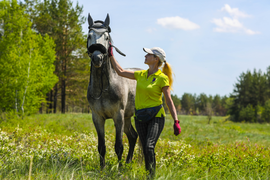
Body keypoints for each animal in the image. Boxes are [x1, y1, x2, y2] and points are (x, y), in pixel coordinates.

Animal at [86, 13, 139, 169]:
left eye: (106, 37)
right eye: (89, 36)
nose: (97, 58)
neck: (104, 87)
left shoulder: (118, 116)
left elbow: (119, 146)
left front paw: (119, 170)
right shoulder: (97, 117)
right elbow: (101, 147)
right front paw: (102, 169)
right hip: (127, 117)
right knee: (133, 136)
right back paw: (128, 162)